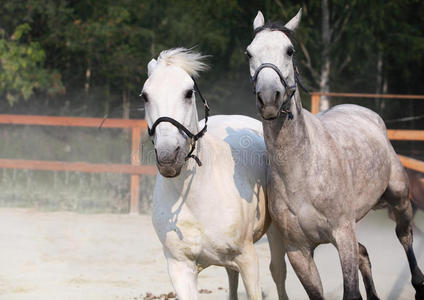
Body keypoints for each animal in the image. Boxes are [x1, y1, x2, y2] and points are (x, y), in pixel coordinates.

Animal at [142, 47, 288, 300]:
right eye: (145, 96)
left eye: (188, 93)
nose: (168, 157)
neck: (194, 198)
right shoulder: (180, 268)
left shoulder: (248, 259)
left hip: (275, 233)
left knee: (279, 273)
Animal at [245, 8, 424, 300]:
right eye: (249, 53)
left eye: (289, 51)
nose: (269, 97)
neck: (302, 171)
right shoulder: (298, 250)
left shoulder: (342, 233)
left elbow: (350, 290)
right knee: (365, 254)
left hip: (399, 197)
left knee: (405, 235)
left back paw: (418, 283)